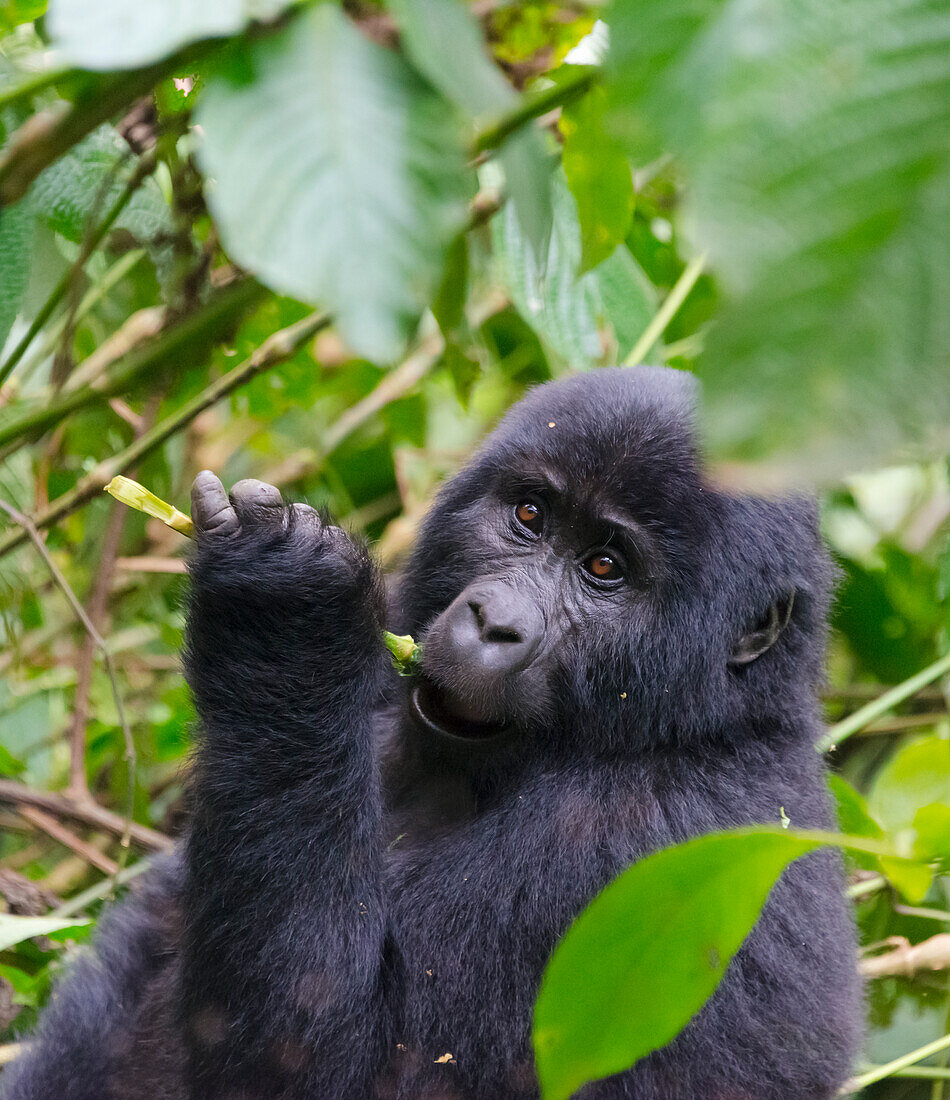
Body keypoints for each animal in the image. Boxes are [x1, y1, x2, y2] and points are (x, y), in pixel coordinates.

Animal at [1, 369, 862, 1100]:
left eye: (605, 568)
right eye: (529, 517)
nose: (493, 623)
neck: (705, 720)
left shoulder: (634, 844)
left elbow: (318, 1067)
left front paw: (282, 615)